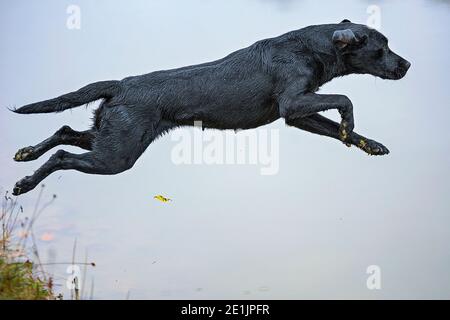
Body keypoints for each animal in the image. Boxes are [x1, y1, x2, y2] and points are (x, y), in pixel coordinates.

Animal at [11, 20, 412, 195]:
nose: (407, 65)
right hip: (117, 155)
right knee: (62, 155)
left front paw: (370, 144)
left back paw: (25, 153)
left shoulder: (299, 115)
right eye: (381, 48)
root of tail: (121, 83)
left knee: (64, 131)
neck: (310, 47)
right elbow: (345, 99)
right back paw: (25, 184)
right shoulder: (292, 103)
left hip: (109, 136)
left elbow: (338, 126)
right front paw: (349, 125)